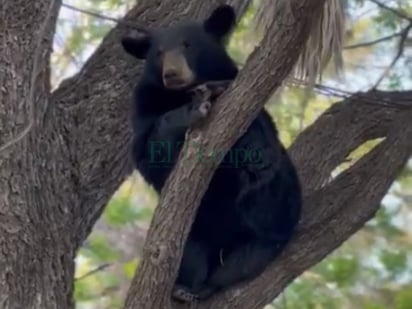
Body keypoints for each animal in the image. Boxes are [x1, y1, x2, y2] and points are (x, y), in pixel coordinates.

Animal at [120, 3, 300, 302]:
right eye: (159, 53)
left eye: (188, 44)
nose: (172, 74)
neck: (180, 94)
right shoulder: (144, 109)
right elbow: (150, 155)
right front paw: (191, 111)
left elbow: (257, 136)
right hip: (193, 234)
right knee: (190, 257)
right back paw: (184, 289)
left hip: (264, 233)